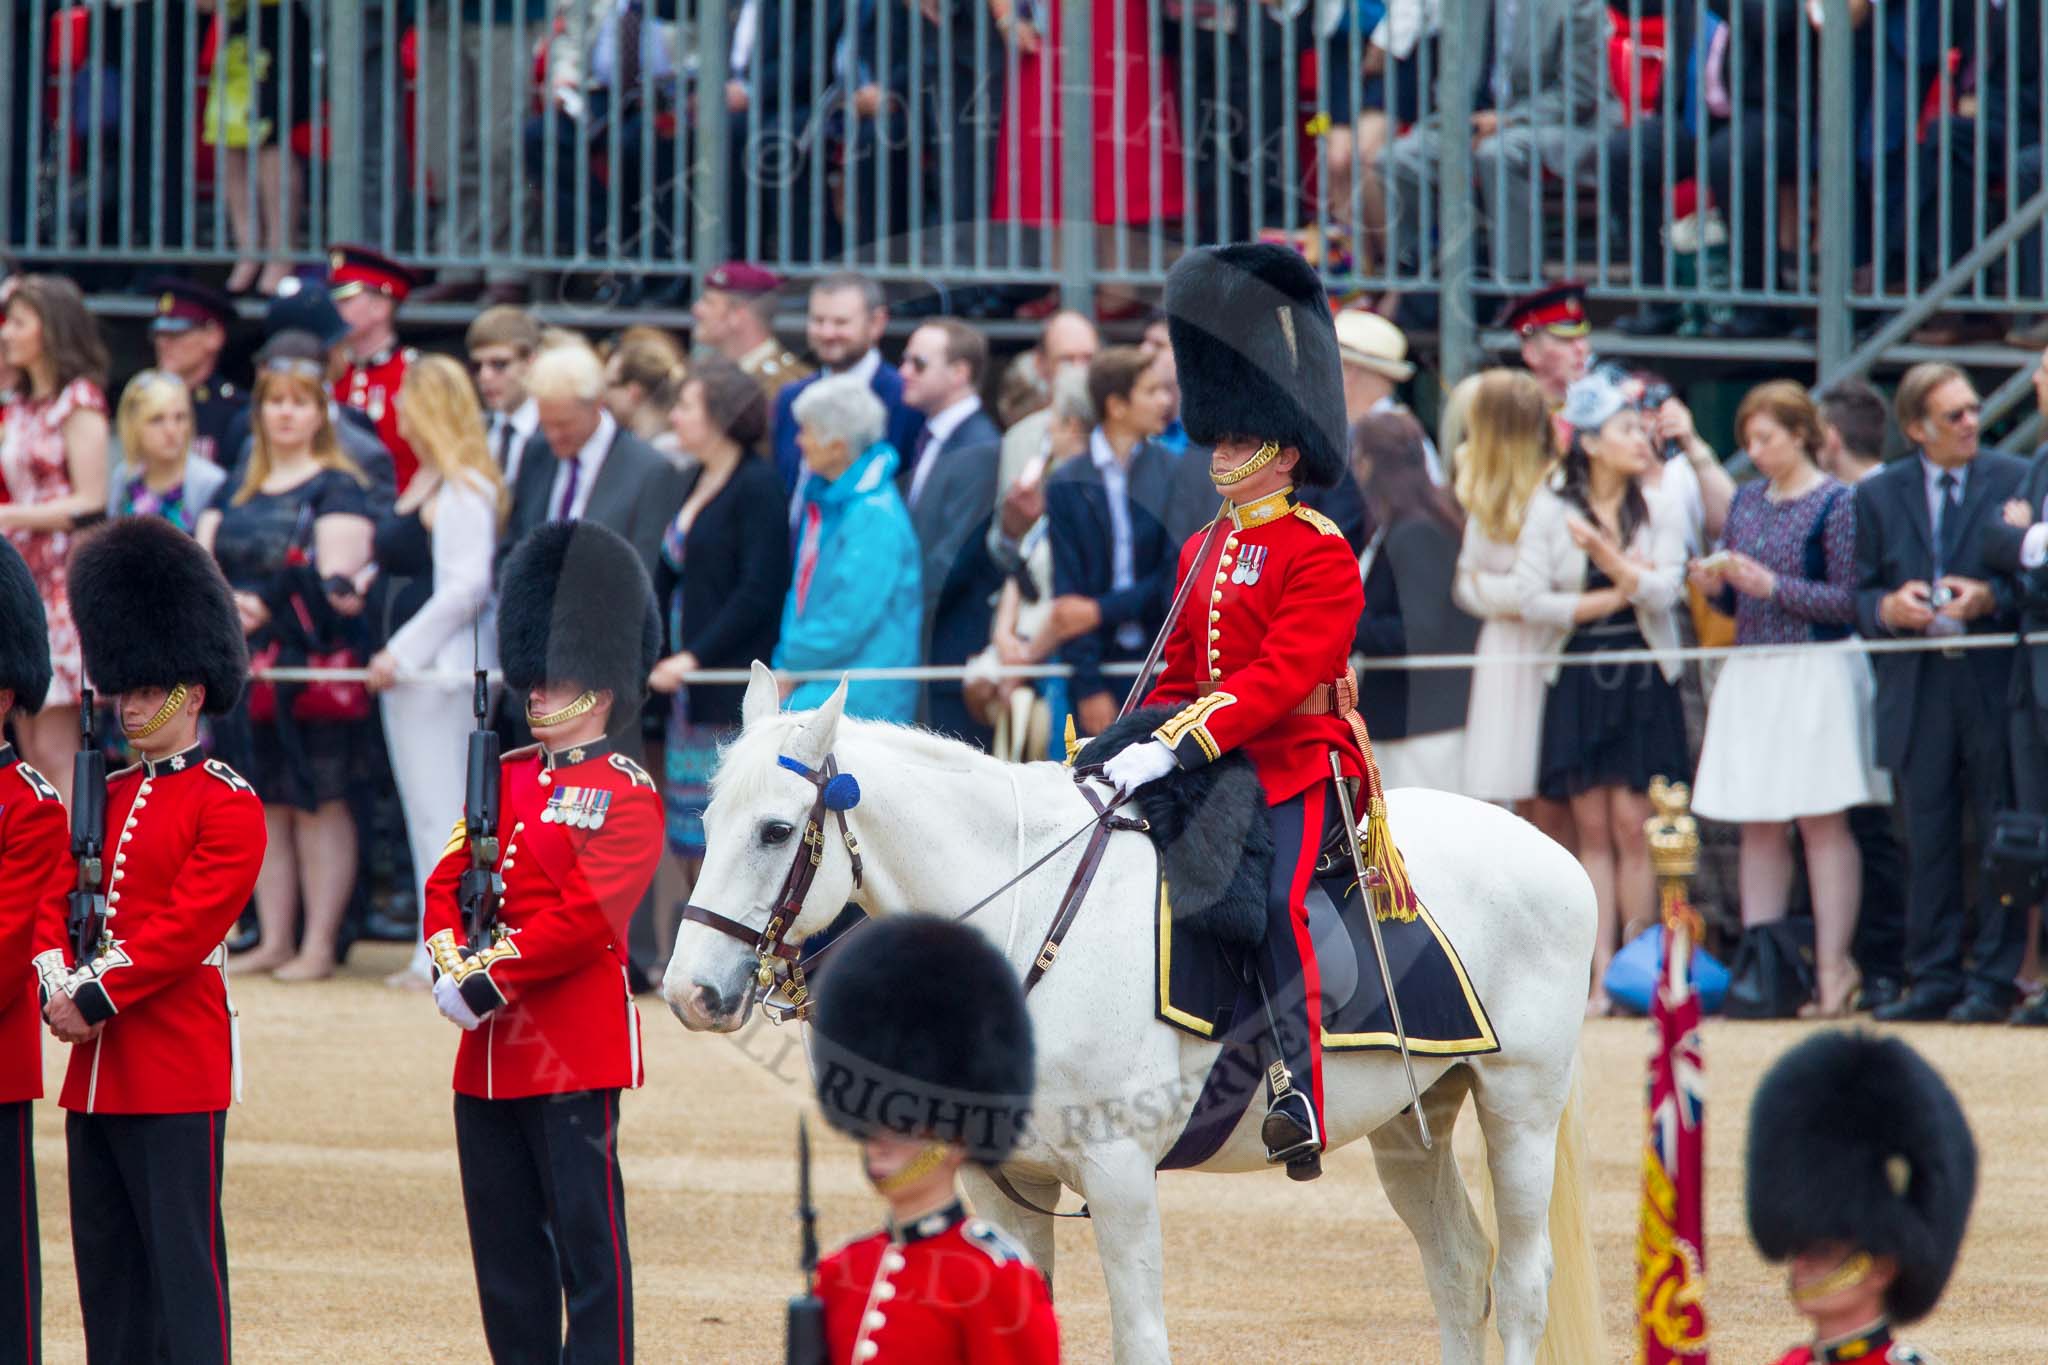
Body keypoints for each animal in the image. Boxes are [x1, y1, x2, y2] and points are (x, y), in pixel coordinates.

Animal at [663, 667, 1605, 1358]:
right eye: (706, 818)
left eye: (775, 830)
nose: (688, 993)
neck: (1027, 920)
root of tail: (1557, 853)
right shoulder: (1002, 1183)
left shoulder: (1118, 1176)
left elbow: (1140, 1339)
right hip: (1411, 1120)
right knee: (1459, 1269)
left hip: (1518, 1106)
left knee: (1522, 1284)